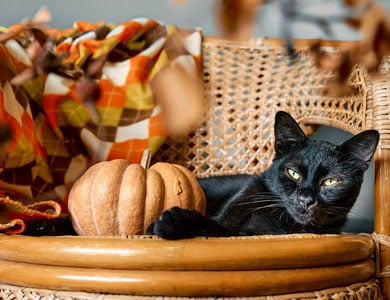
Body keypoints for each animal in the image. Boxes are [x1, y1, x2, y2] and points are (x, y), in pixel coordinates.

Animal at [148, 111, 380, 240]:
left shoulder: (239, 234)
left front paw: (172, 221)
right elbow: (216, 224)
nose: (305, 199)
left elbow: (215, 228)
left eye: (330, 181)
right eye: (293, 173)